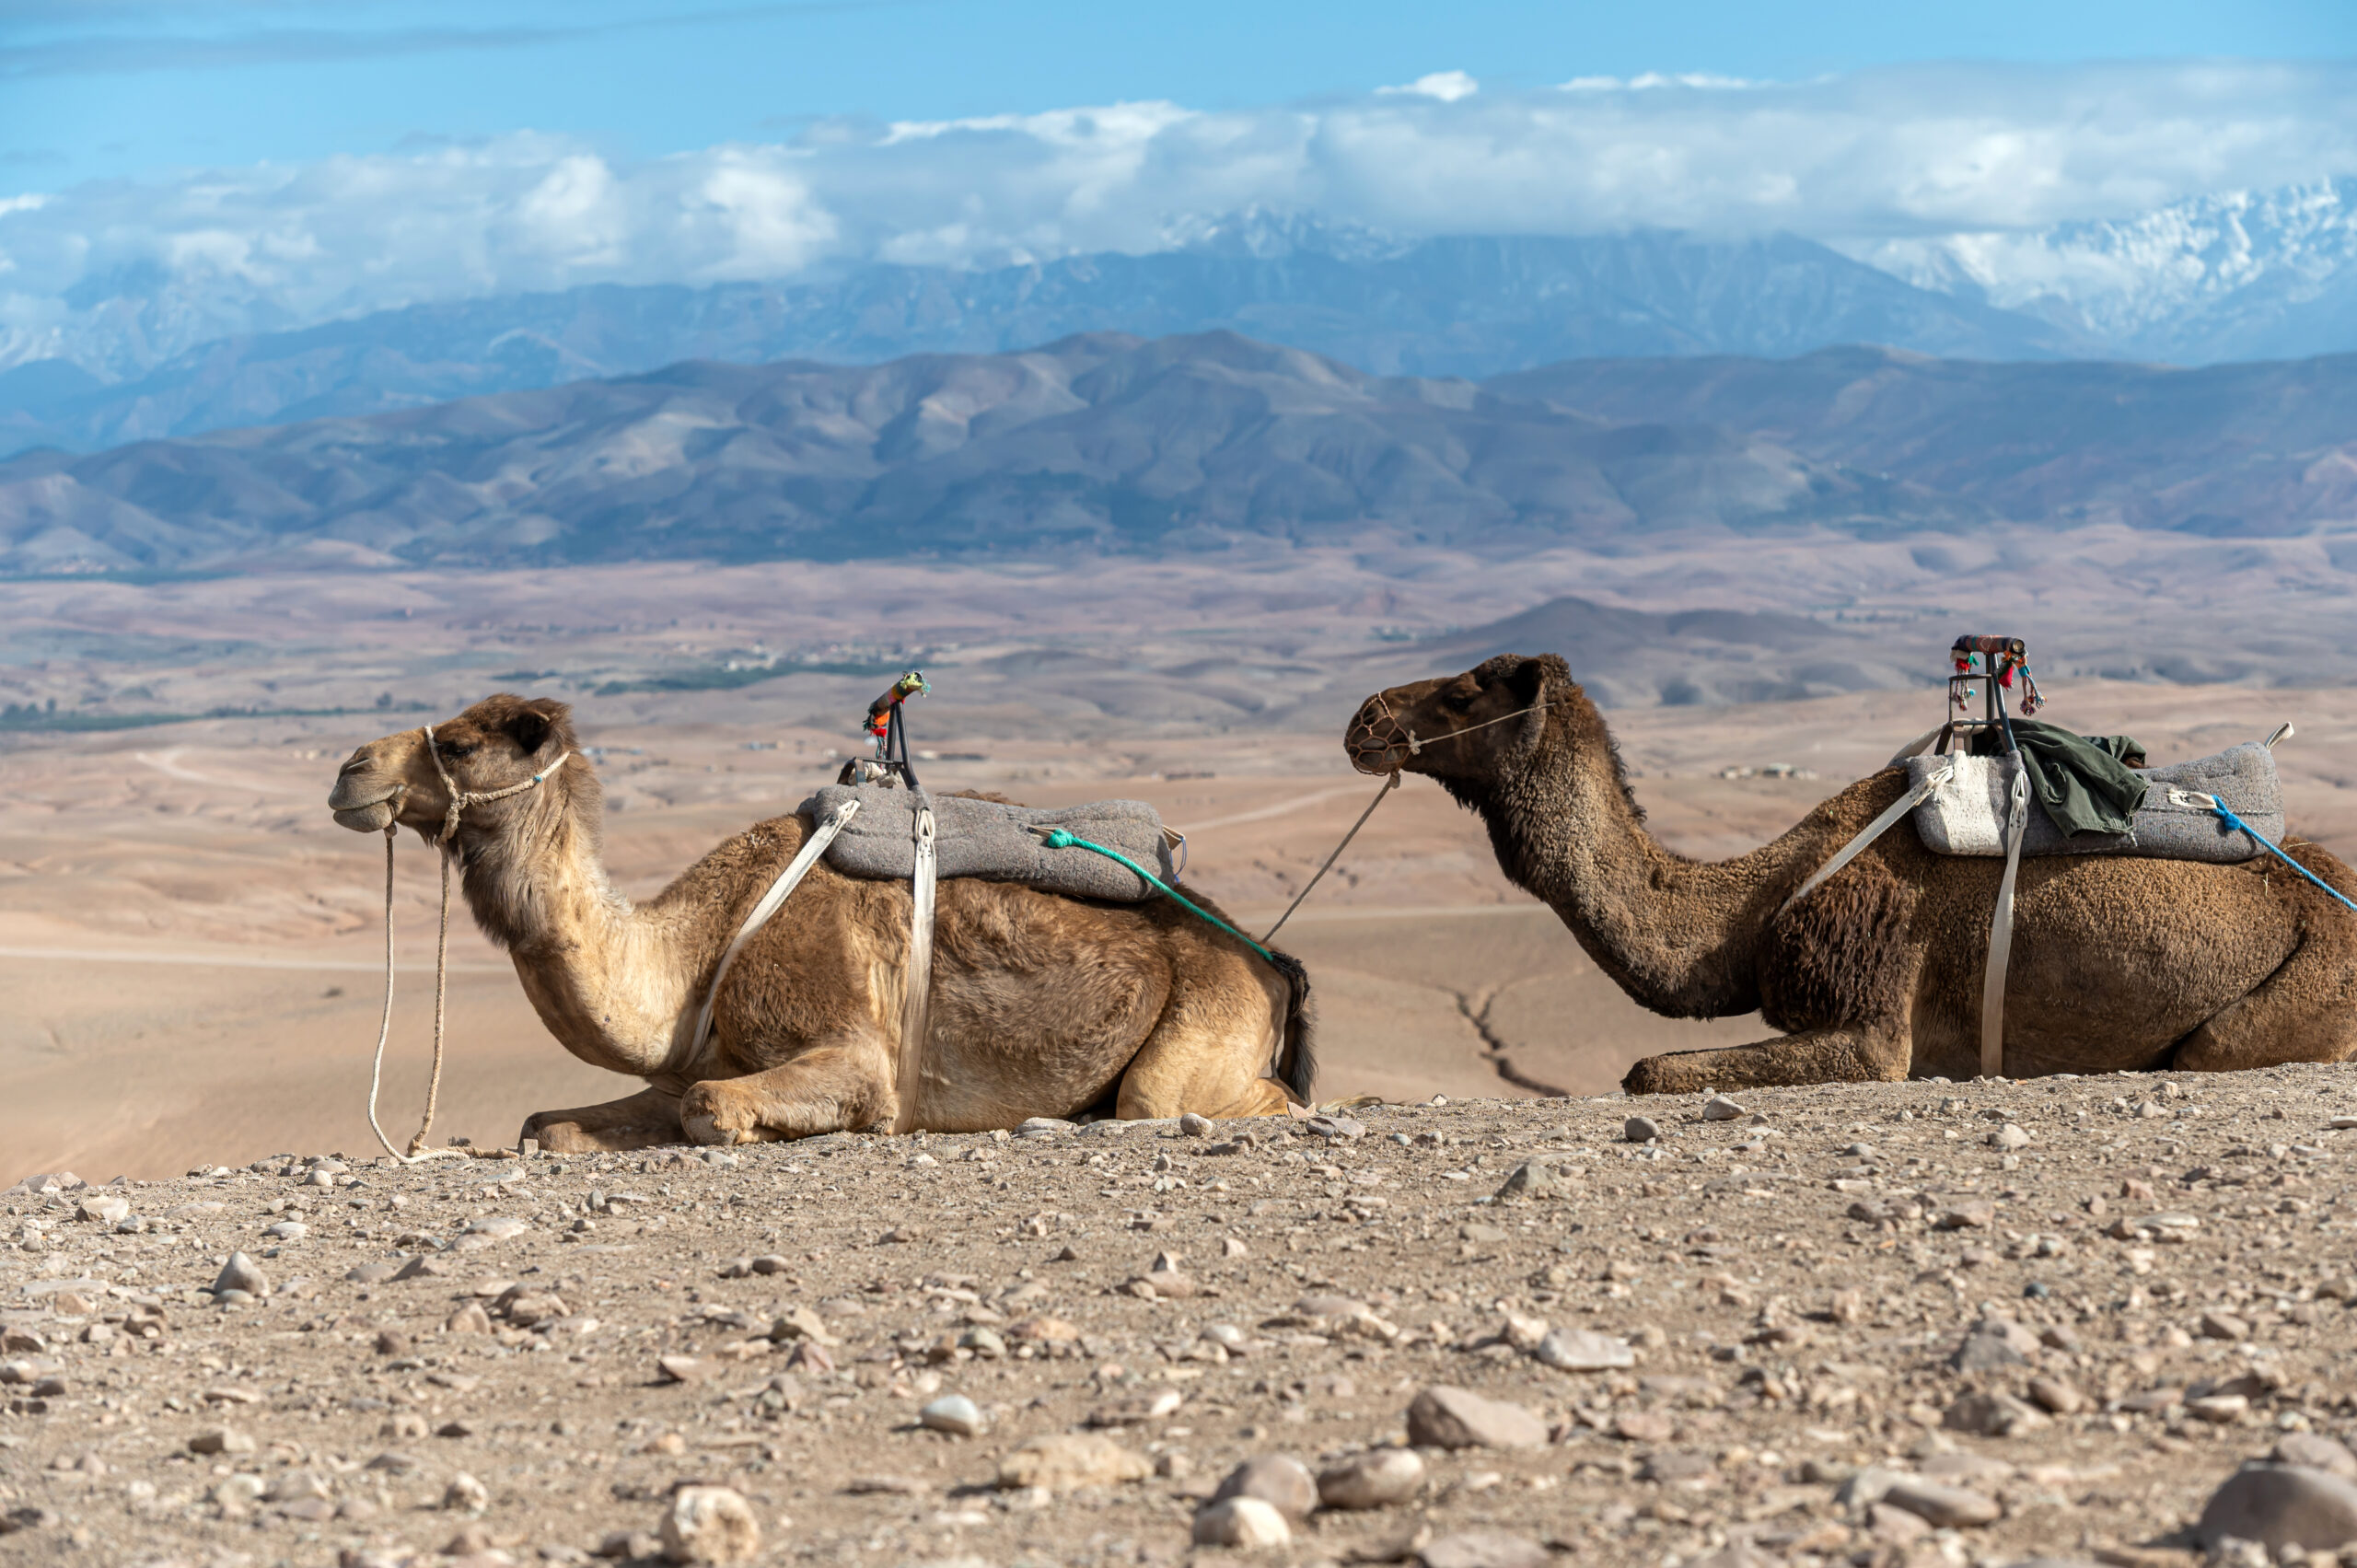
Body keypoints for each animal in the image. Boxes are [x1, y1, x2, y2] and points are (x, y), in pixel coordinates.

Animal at [325, 695, 1312, 1151]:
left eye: (459, 743)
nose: (348, 770)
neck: (698, 949)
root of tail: (1268, 963)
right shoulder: (700, 1055)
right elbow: (546, 1123)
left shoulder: (853, 1047)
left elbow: (716, 1107)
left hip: (1203, 1024)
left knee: (1207, 1099)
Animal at [1346, 654, 2357, 1093]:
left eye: (1464, 690)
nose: (1364, 719)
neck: (1756, 903)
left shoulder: (1875, 1010)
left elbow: (1643, 1068)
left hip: (2291, 997)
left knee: (2209, 1048)